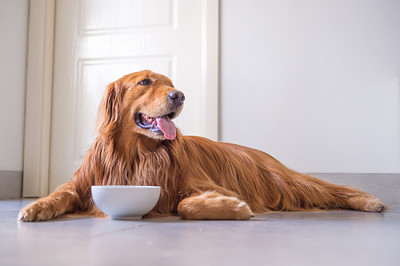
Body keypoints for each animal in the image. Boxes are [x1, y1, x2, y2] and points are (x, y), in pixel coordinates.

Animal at [18, 69, 384, 221]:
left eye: (171, 83)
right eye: (145, 81)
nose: (179, 95)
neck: (137, 153)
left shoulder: (200, 184)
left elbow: (184, 205)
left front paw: (233, 208)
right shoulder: (82, 183)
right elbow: (59, 194)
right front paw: (33, 208)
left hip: (283, 180)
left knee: (329, 189)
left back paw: (369, 201)